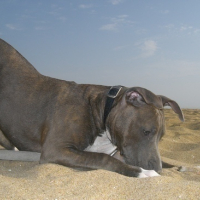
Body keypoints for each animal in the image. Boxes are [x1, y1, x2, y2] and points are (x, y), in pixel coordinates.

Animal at [0, 38, 184, 177]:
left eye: (161, 137)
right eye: (146, 131)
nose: (158, 169)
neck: (101, 112)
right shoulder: (56, 149)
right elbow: (102, 159)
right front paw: (142, 172)